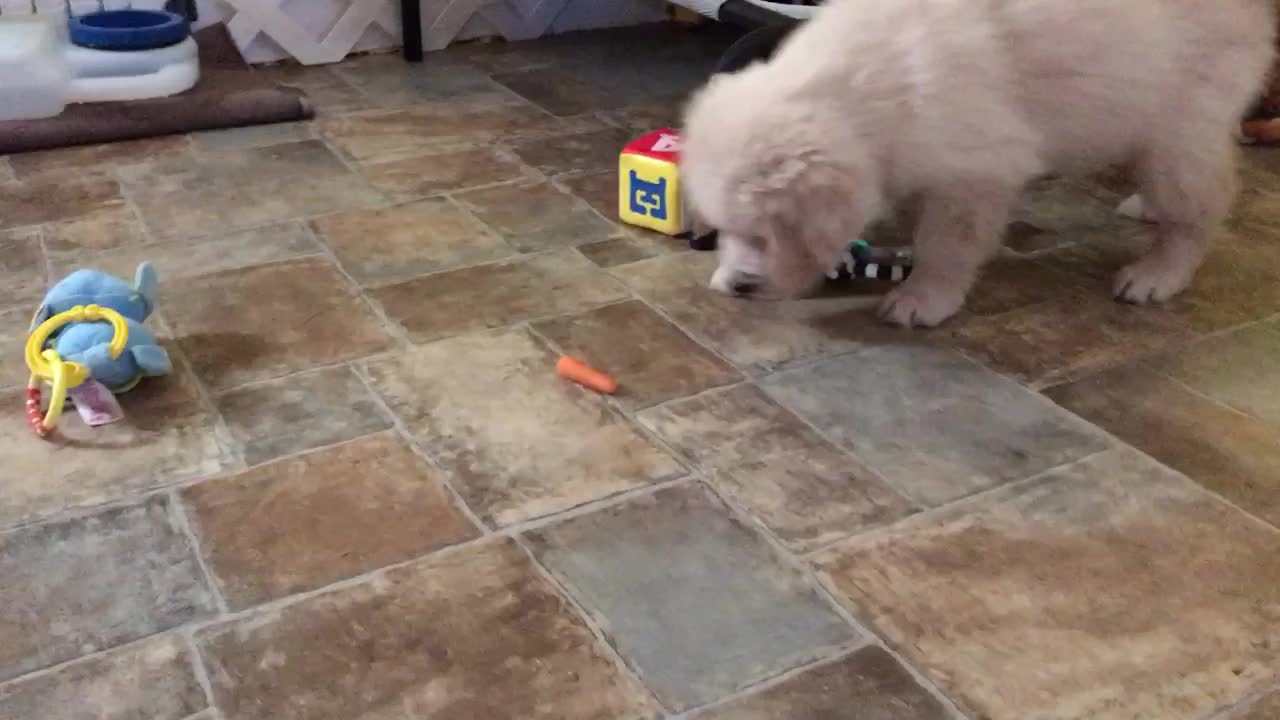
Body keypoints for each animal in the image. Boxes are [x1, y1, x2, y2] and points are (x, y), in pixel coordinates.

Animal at [686, 0, 1274, 322]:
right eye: (723, 229)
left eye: (767, 233)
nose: (739, 286)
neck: (866, 89)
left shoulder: (974, 169)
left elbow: (946, 242)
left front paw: (924, 298)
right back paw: (1144, 207)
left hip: (1181, 116)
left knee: (1202, 203)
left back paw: (1157, 273)